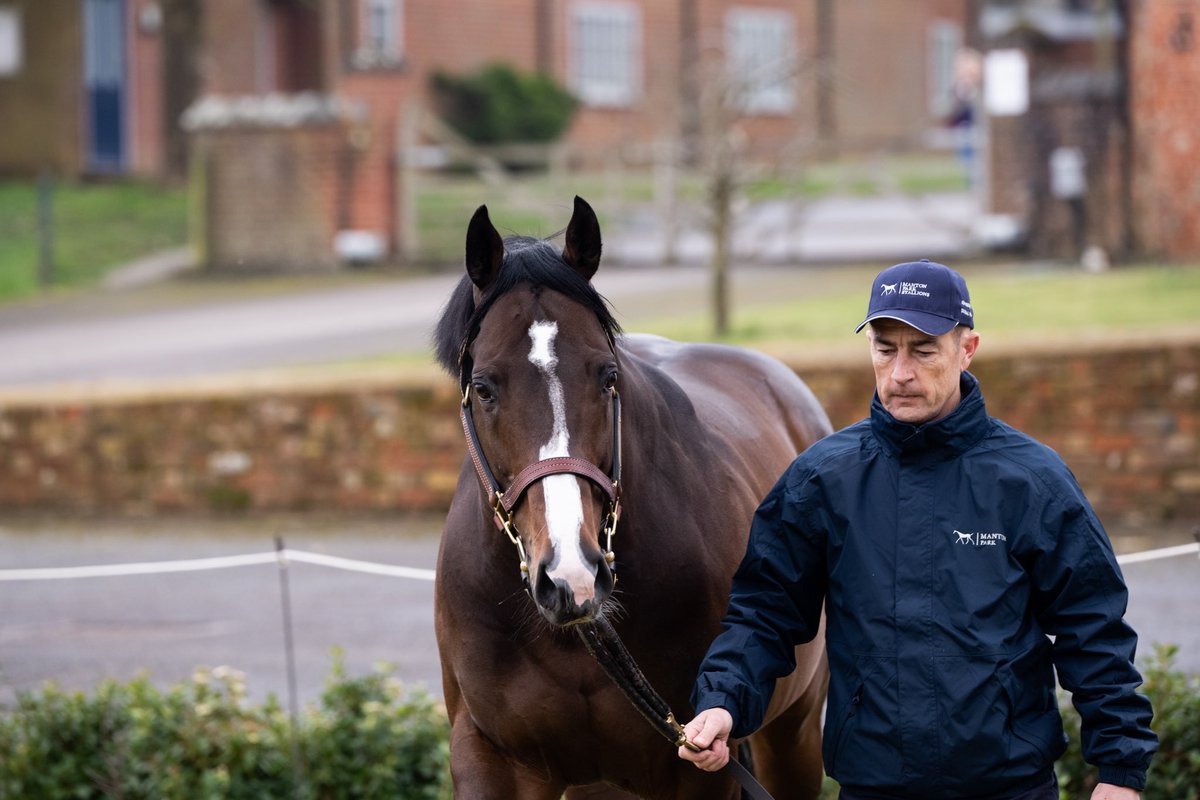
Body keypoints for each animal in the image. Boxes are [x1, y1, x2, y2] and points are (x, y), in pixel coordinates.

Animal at [434, 195, 835, 800]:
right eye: (482, 387)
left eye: (608, 376)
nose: (571, 577)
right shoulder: (491, 758)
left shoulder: (697, 764)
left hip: (796, 731)